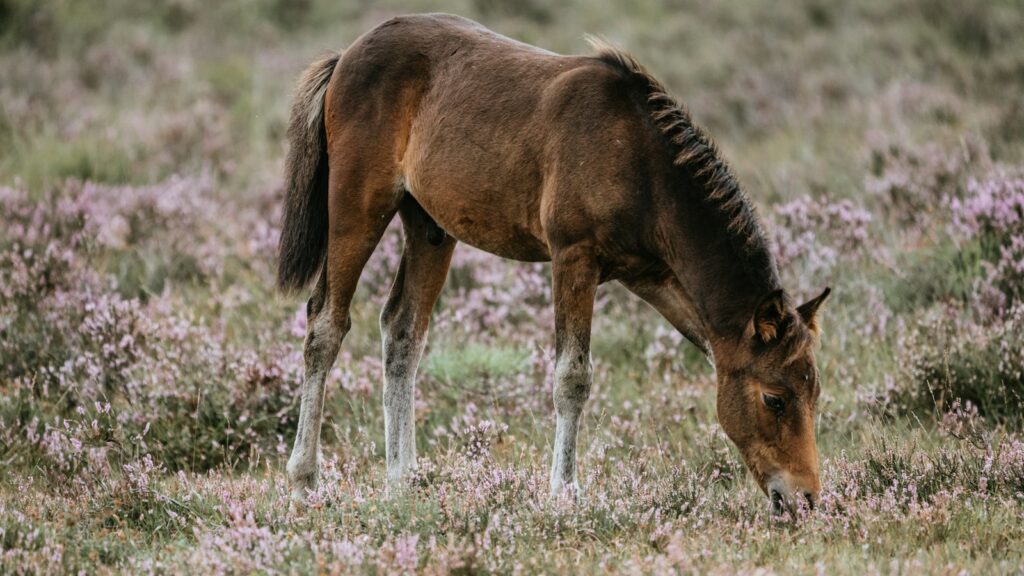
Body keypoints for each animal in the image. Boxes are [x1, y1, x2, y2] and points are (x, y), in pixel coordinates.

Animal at [277, 13, 831, 514]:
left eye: (815, 393)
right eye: (774, 399)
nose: (804, 499)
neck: (639, 162)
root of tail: (345, 57)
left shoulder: (656, 279)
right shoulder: (573, 258)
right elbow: (572, 377)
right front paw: (565, 492)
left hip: (430, 228)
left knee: (402, 332)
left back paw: (402, 482)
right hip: (358, 209)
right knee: (326, 326)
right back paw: (304, 482)